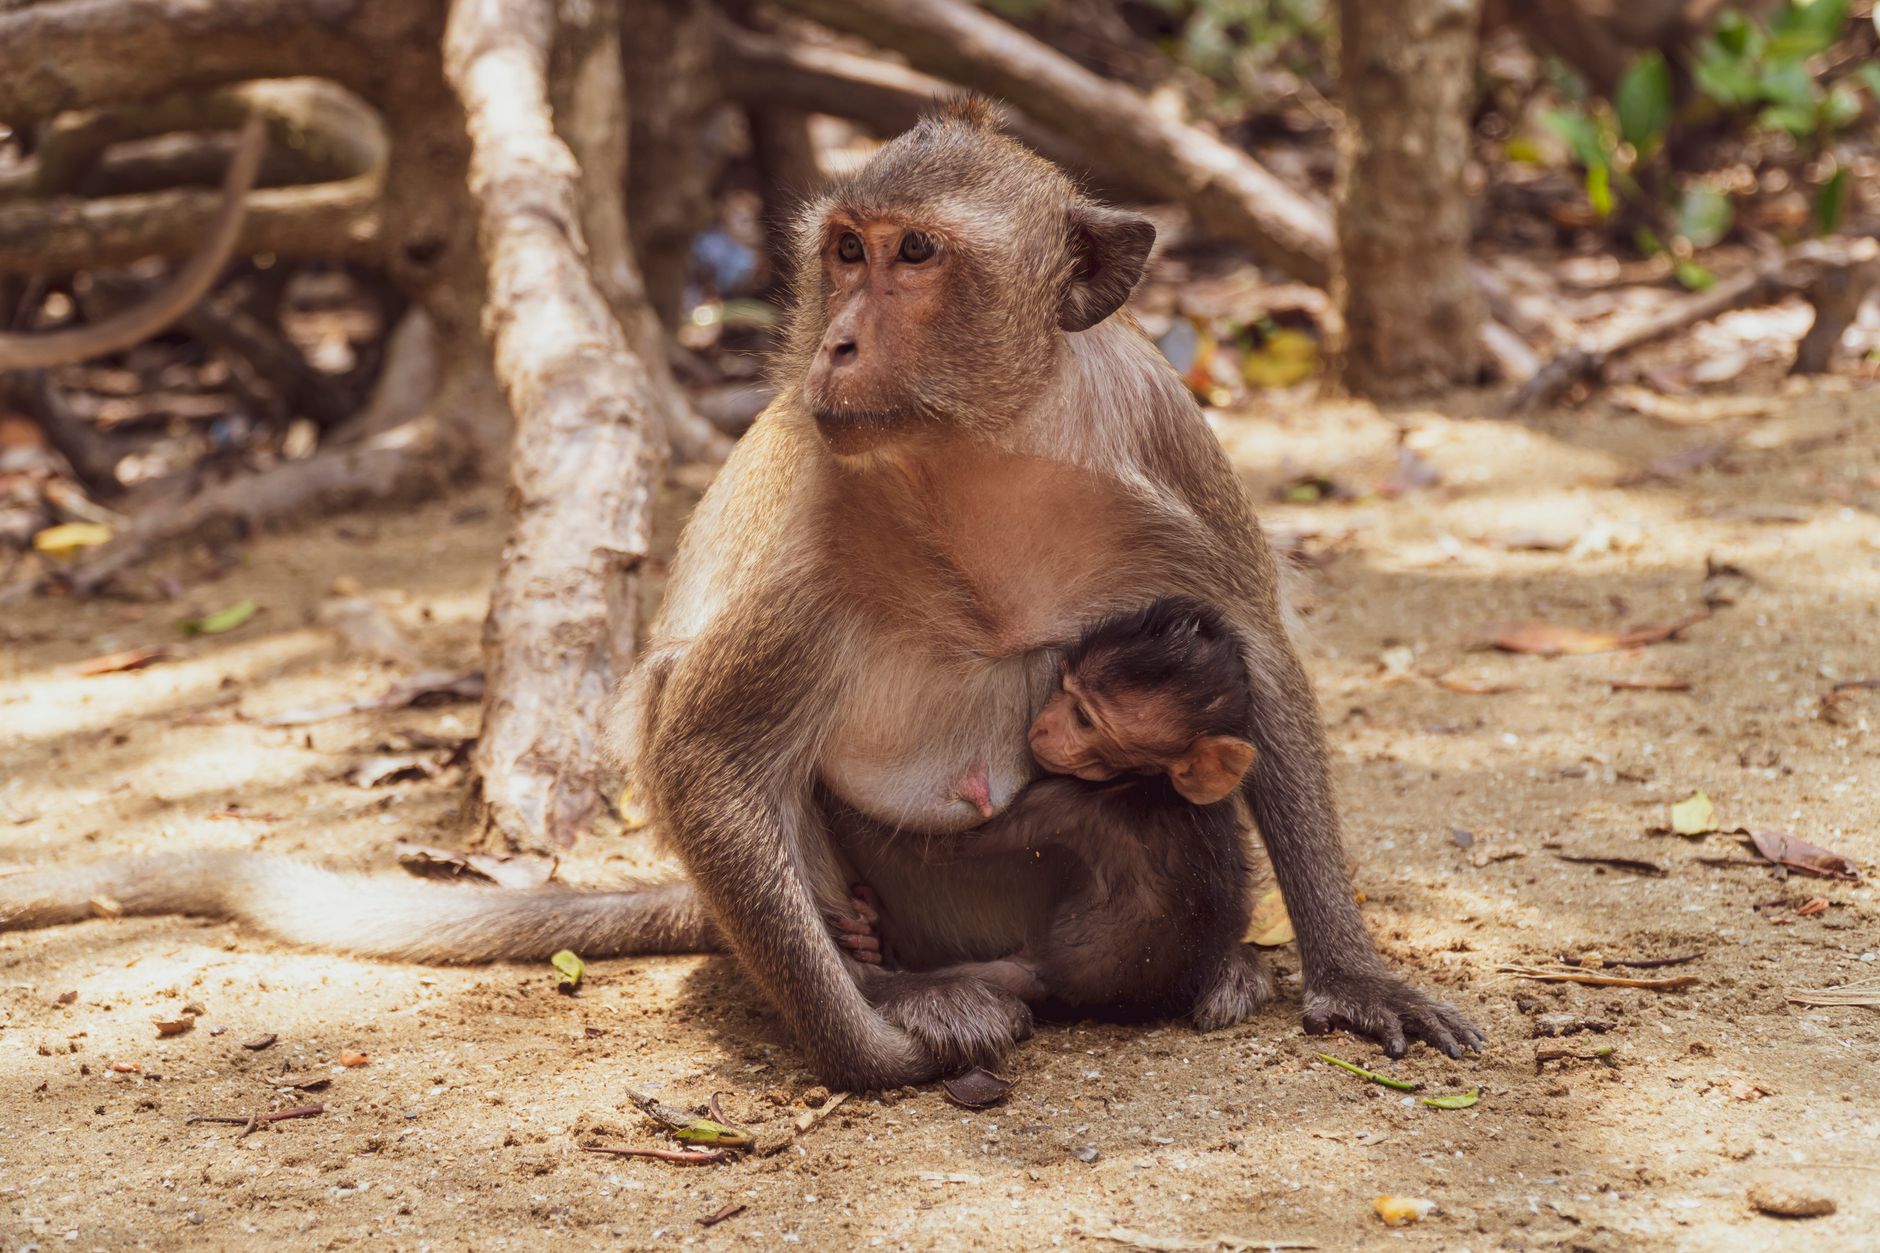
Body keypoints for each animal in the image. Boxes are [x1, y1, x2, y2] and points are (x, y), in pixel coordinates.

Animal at [837, 595, 1267, 1030]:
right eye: (1062, 687)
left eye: (1083, 719)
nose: (1043, 727)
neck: (1155, 784)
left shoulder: (1066, 804)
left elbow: (940, 847)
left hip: (1038, 976)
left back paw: (882, 946)